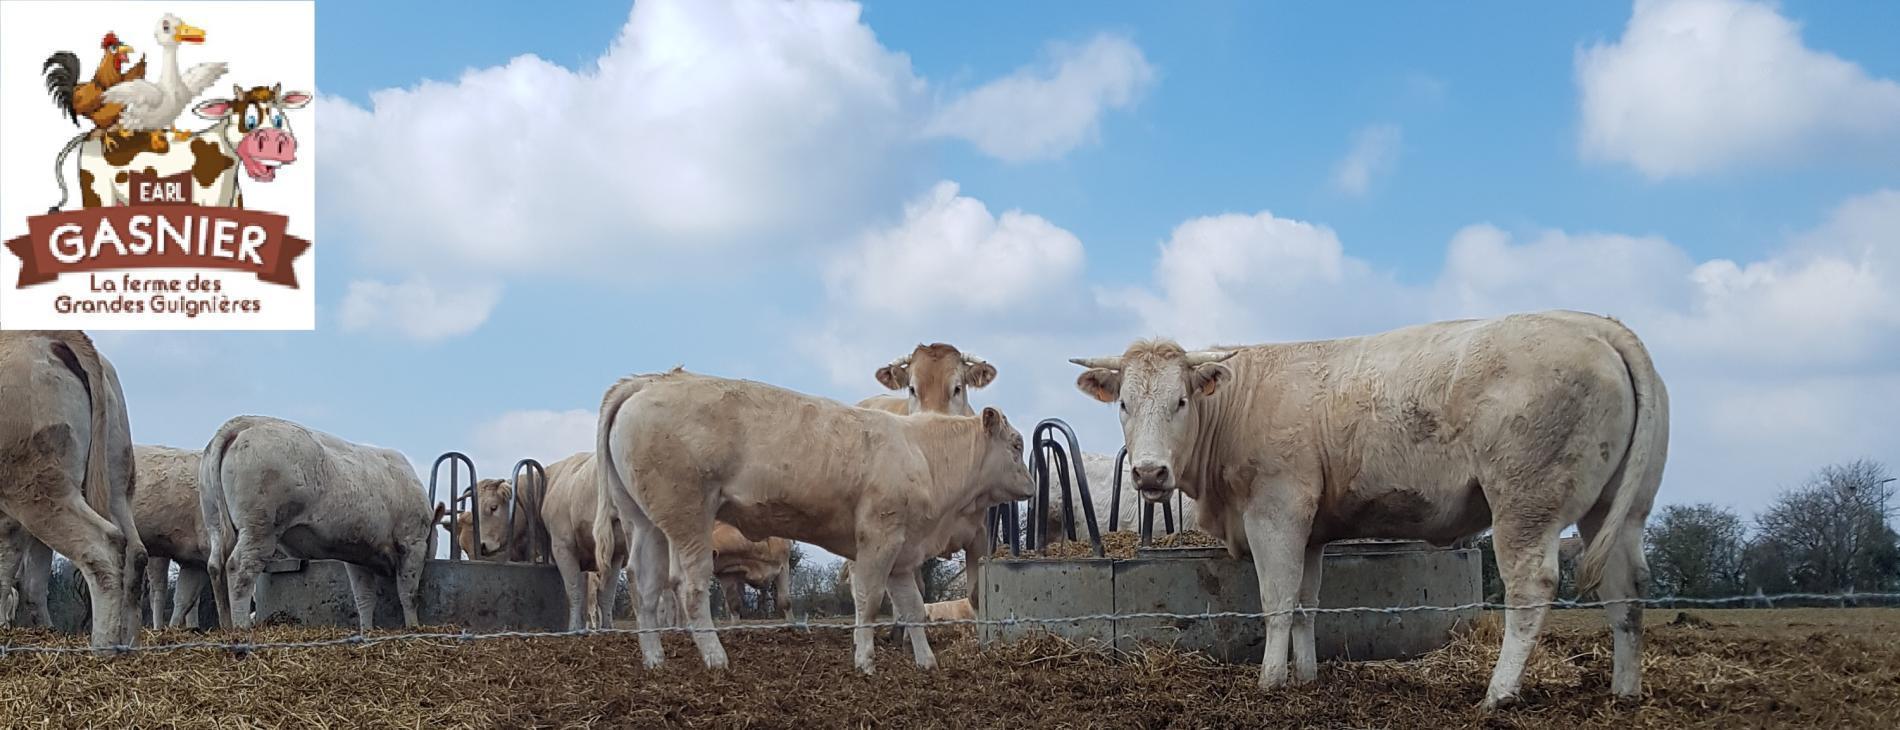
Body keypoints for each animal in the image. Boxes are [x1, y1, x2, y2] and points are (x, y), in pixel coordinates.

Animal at [0, 331, 145, 651]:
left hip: (39, 488)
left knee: (103, 547)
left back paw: (102, 649)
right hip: (116, 478)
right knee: (135, 553)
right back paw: (127, 645)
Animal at [199, 415, 432, 632]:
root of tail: (247, 422)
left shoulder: (358, 556)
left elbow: (364, 598)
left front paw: (366, 630)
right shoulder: (413, 541)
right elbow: (409, 594)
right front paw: (413, 627)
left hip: (214, 520)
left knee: (215, 565)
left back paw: (226, 626)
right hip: (260, 527)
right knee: (239, 568)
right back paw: (241, 628)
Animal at [597, 367, 1033, 674]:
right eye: (1016, 444)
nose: (1030, 485)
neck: (922, 454)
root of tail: (647, 383)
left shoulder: (903, 552)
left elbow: (913, 608)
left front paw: (926, 663)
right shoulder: (878, 538)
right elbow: (869, 601)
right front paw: (865, 661)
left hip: (645, 521)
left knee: (644, 586)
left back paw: (654, 660)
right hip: (688, 518)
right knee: (689, 587)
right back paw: (716, 658)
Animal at [1068, 310, 1667, 708]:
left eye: (1181, 400)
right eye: (1125, 404)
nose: (1149, 474)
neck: (1238, 406)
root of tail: (1595, 324)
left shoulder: (1277, 509)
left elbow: (1277, 600)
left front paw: (1270, 681)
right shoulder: (1311, 530)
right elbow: (1306, 604)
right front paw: (1305, 677)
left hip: (1527, 502)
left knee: (1531, 589)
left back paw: (1497, 695)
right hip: (1620, 509)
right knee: (1627, 587)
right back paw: (1626, 692)